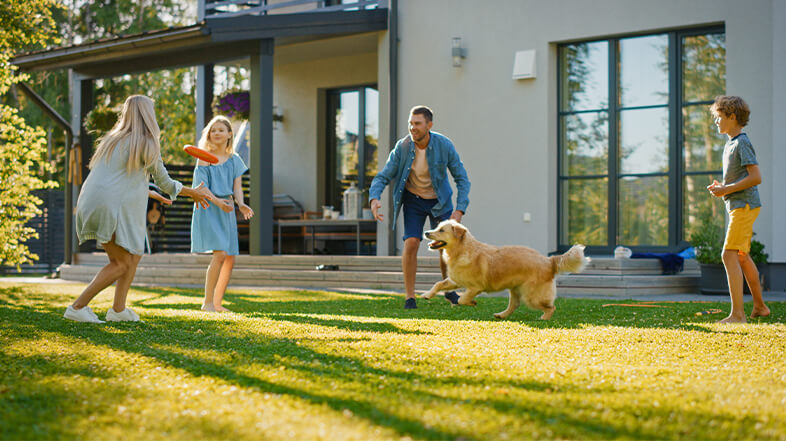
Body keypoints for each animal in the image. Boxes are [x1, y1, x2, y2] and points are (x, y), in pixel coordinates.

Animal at [422, 220, 580, 320]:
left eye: (442, 230)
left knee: (551, 307)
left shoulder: (476, 287)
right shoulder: (456, 280)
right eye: (437, 227)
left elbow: (462, 299)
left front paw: (471, 302)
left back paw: (544, 318)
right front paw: (427, 295)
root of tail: (548, 260)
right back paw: (501, 315)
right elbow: (438, 284)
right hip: (515, 289)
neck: (462, 250)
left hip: (531, 296)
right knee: (514, 305)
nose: (426, 232)